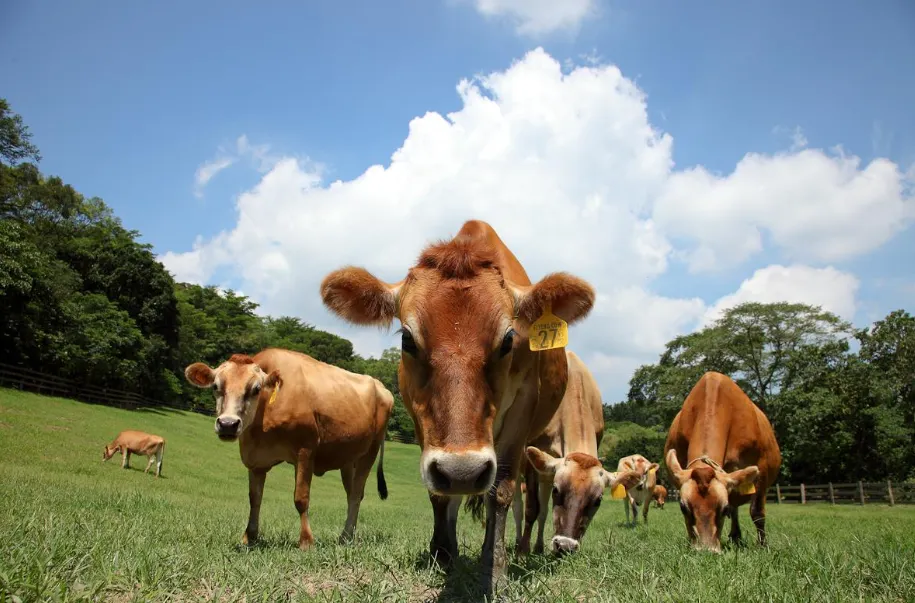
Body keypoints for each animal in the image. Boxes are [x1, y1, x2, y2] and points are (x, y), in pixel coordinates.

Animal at [184, 348, 394, 549]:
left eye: (256, 389)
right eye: (215, 386)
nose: (228, 424)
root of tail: (381, 387)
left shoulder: (305, 450)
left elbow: (301, 498)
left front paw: (306, 541)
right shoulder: (256, 460)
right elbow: (255, 498)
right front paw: (249, 537)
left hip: (370, 451)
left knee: (356, 494)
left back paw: (345, 536)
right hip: (348, 458)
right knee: (352, 494)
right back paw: (348, 536)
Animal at [319, 219, 595, 594]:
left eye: (509, 339)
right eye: (407, 339)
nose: (462, 471)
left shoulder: (521, 412)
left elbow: (501, 491)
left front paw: (494, 568)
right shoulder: (420, 420)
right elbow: (439, 494)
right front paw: (442, 553)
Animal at [522, 350, 641, 555]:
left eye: (598, 500)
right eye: (557, 490)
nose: (564, 546)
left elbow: (543, 511)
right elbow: (531, 508)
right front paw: (521, 552)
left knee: (544, 511)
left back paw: (538, 548)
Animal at [664, 371, 782, 552]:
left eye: (723, 508)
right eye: (683, 507)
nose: (706, 550)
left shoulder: (762, 470)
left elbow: (757, 512)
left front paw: (762, 545)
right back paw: (735, 536)